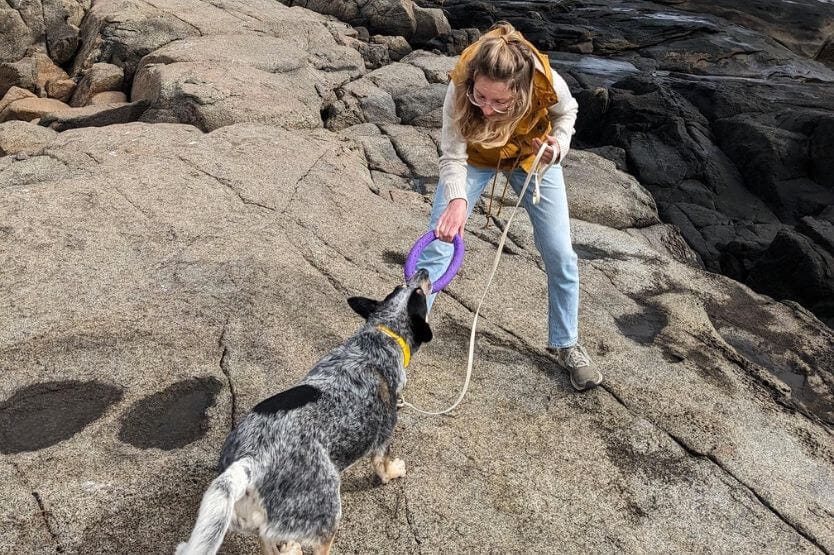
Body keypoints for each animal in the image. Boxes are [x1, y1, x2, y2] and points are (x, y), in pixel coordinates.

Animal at [177, 268, 436, 552]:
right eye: (418, 293)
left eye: (400, 286)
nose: (423, 271)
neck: (383, 335)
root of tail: (250, 461)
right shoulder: (382, 441)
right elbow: (384, 467)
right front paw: (394, 472)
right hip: (328, 515)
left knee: (267, 541)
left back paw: (288, 547)